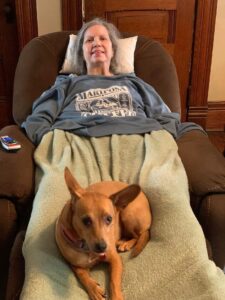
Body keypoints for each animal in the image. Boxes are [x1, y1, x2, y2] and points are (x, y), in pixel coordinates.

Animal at [55, 168, 152, 298]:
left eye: (109, 219)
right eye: (86, 221)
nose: (102, 247)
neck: (87, 249)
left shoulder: (115, 259)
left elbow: (114, 281)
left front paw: (116, 297)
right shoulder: (76, 266)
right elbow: (83, 276)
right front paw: (94, 289)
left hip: (128, 214)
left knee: (139, 235)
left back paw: (126, 243)